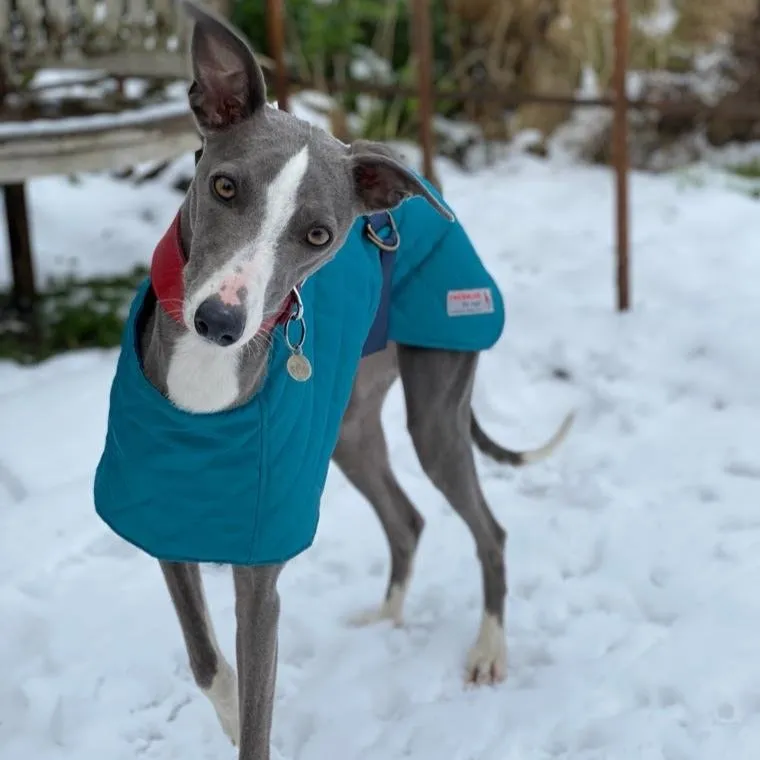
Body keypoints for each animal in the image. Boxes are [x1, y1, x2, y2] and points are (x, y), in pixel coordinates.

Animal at [138, 2, 576, 756]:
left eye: (319, 235)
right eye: (224, 186)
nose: (220, 321)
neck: (211, 382)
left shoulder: (261, 578)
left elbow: (257, 711)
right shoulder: (168, 518)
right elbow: (206, 661)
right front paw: (226, 707)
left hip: (434, 412)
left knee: (489, 531)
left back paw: (487, 650)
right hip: (349, 429)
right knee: (408, 519)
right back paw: (387, 616)